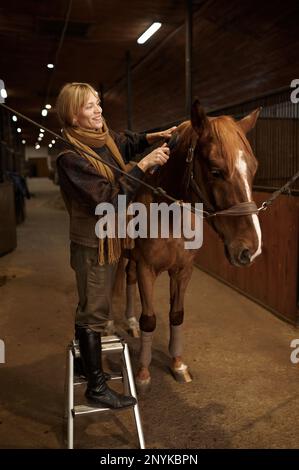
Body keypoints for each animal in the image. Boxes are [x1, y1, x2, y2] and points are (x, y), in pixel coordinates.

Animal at [123, 100, 264, 390]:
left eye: (253, 168)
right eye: (215, 170)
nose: (251, 249)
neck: (168, 216)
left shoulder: (183, 270)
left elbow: (177, 315)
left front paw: (178, 364)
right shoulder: (146, 269)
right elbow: (149, 320)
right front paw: (142, 374)